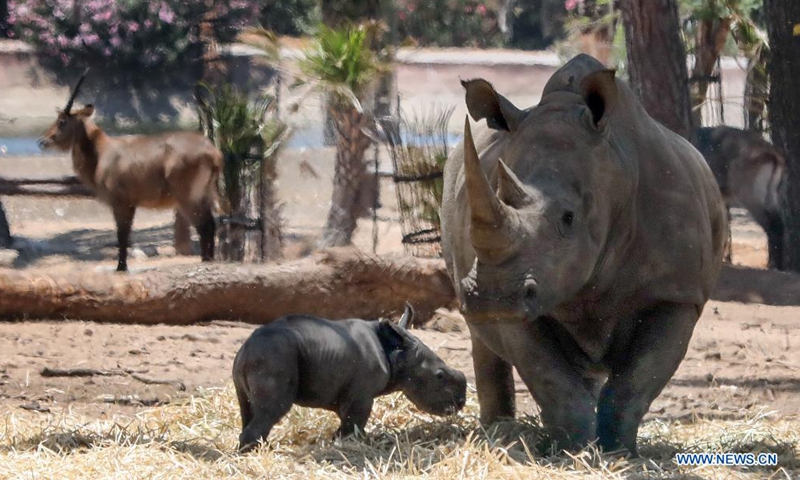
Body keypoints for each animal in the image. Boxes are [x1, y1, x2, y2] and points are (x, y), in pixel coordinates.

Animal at [232, 304, 467, 453]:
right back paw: (256, 453)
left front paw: (340, 441)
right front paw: (354, 443)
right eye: (439, 376)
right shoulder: (361, 395)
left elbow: (347, 420)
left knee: (248, 408)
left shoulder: (347, 394)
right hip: (275, 357)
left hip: (259, 359)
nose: (461, 403)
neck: (396, 353)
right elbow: (354, 422)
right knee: (273, 408)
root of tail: (247, 350)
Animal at [440, 54, 726, 454]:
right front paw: (572, 448)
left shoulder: (676, 294)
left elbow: (635, 381)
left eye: (569, 218)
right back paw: (498, 429)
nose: (493, 296)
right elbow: (551, 378)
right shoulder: (523, 296)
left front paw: (618, 451)